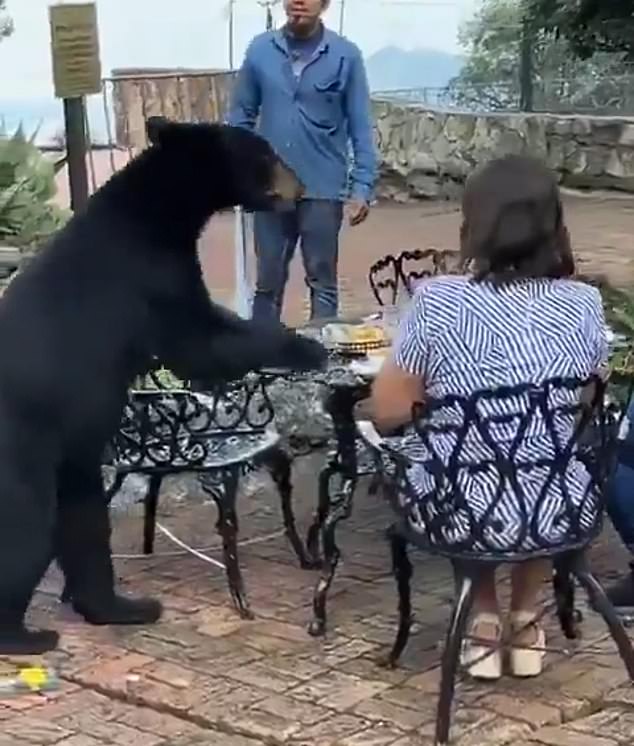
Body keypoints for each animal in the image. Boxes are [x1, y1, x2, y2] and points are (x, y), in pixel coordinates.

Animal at [0, 116, 326, 652]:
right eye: (267, 154)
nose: (299, 187)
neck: (158, 211)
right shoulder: (151, 277)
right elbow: (199, 339)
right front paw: (305, 346)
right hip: (23, 453)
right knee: (27, 528)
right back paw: (24, 635)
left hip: (73, 459)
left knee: (84, 524)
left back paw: (123, 607)